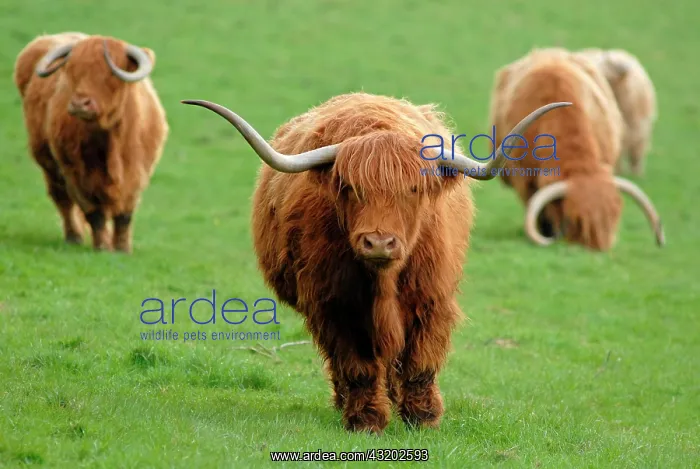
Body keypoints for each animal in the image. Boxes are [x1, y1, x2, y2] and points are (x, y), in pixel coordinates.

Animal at [13, 32, 169, 253]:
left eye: (110, 74)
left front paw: (122, 249)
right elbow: (94, 213)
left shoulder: (137, 174)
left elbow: (124, 216)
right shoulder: (75, 173)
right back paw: (74, 236)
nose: (80, 103)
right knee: (62, 200)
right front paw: (102, 247)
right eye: (72, 71)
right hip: (48, 164)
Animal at [182, 92, 569, 433]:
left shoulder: (432, 300)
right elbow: (357, 366)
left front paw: (423, 418)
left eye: (413, 189)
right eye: (351, 188)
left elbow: (420, 362)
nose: (379, 242)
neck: (383, 282)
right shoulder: (335, 306)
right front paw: (366, 420)